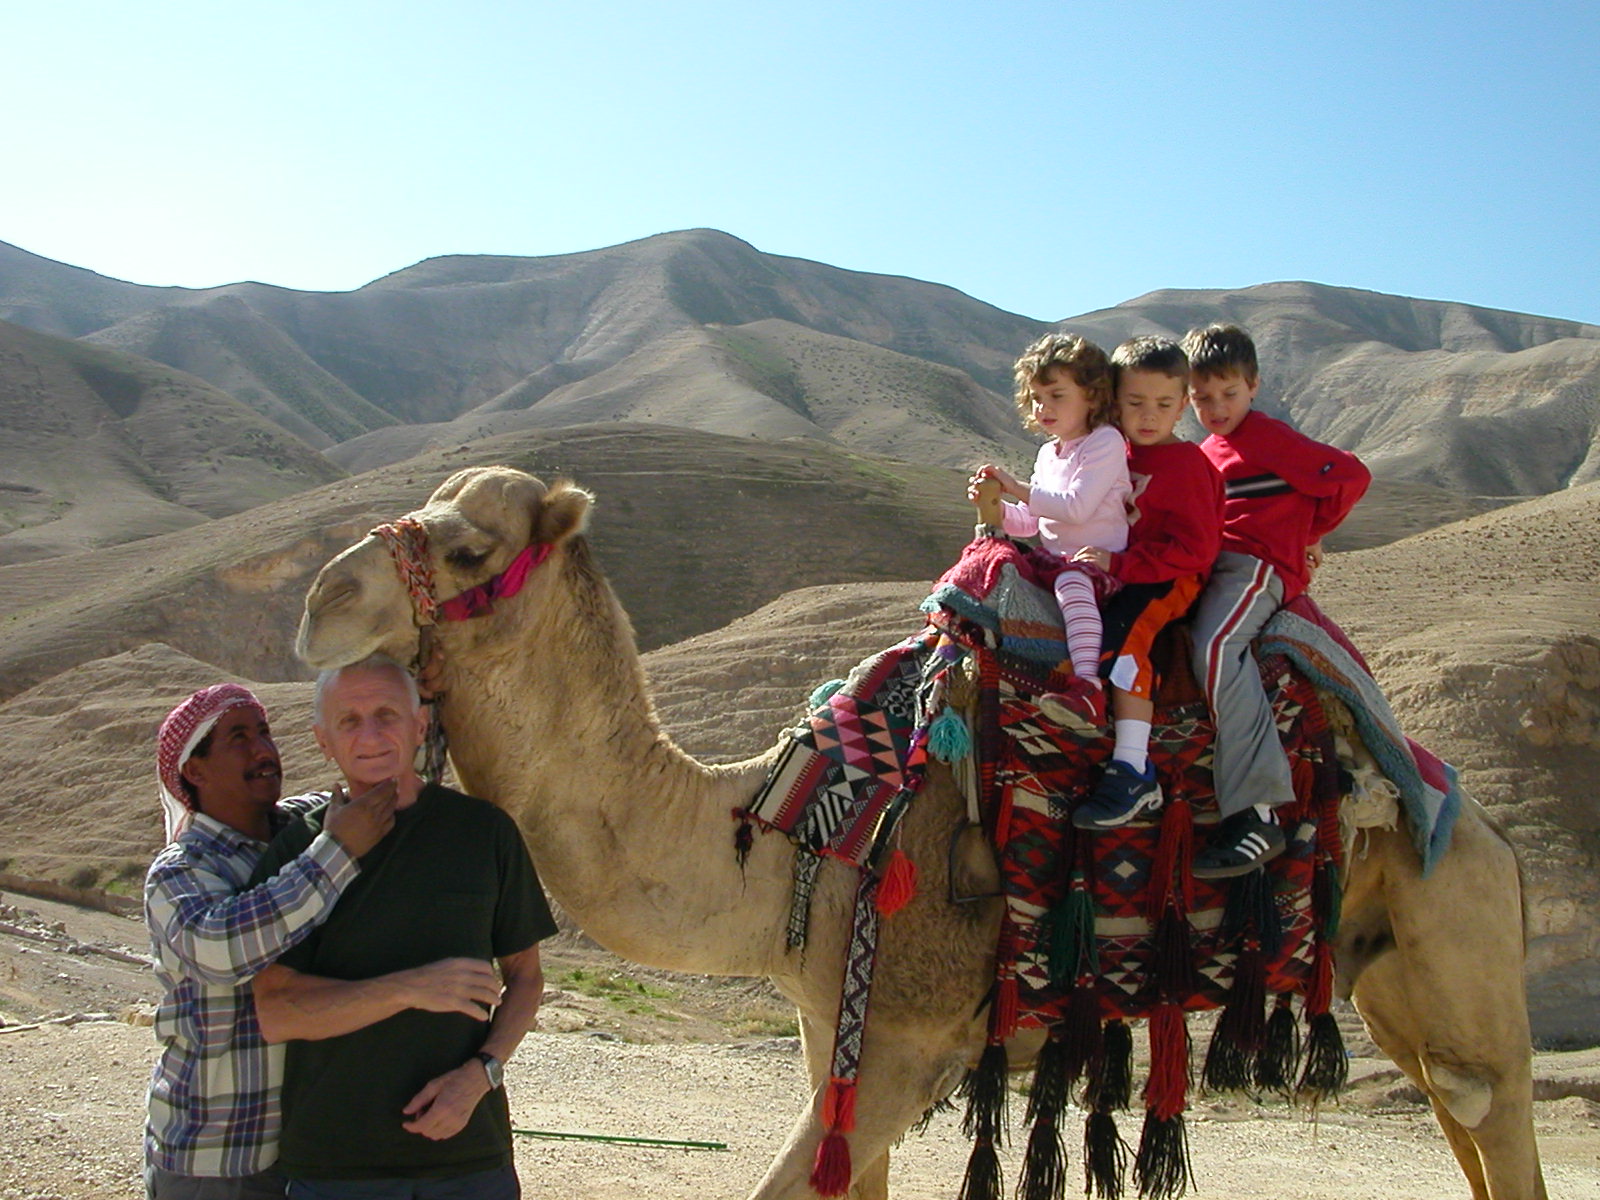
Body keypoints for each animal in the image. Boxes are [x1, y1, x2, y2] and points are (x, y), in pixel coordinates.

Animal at [294, 470, 1542, 1200]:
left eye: (466, 547)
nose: (318, 604)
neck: (773, 837)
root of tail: (1477, 820)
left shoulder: (913, 1036)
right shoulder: (831, 1026)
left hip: (1461, 943)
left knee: (1498, 1112)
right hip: (1396, 978)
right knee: (1463, 1118)